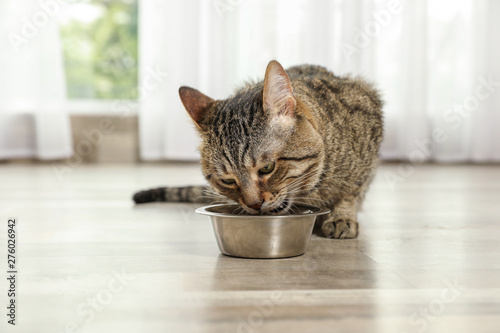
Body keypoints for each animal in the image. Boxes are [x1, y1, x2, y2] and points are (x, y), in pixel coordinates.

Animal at [133, 60, 382, 239]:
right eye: (228, 180)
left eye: (267, 168)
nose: (253, 204)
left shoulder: (369, 111)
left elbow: (352, 190)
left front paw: (342, 216)